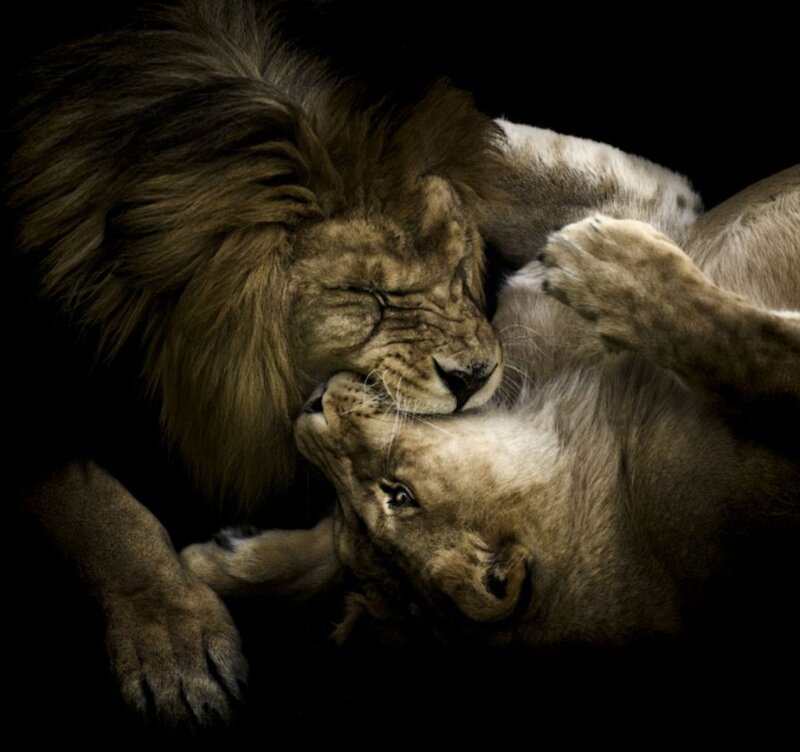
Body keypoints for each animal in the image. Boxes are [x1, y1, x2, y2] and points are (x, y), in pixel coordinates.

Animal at [185, 163, 799, 648]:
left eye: (399, 494)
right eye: (357, 525)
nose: (308, 408)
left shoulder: (649, 208)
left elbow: (752, 352)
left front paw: (604, 266)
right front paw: (214, 568)